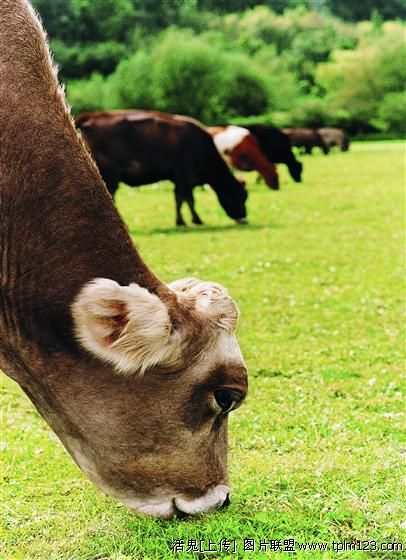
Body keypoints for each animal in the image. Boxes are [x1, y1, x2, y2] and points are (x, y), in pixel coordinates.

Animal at [75, 110, 247, 226]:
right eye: (241, 196)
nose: (244, 218)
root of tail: (92, 115)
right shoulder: (184, 177)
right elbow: (185, 200)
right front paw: (188, 220)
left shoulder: (182, 180)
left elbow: (185, 200)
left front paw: (189, 219)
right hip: (111, 174)